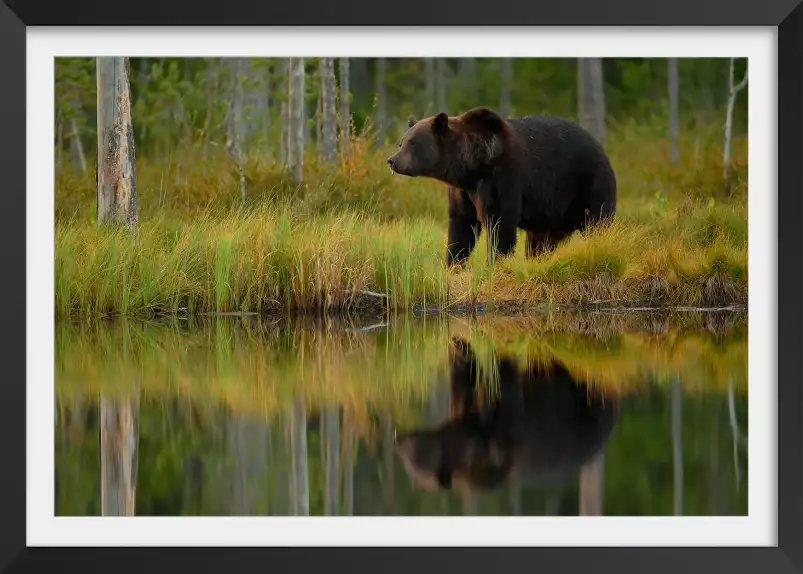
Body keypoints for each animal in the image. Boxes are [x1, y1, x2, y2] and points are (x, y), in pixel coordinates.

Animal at [386, 107, 620, 266]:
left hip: (588, 185)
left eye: (413, 143)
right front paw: (453, 263)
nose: (392, 160)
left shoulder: (502, 179)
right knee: (541, 240)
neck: (470, 167)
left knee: (598, 223)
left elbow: (500, 224)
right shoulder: (462, 192)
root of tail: (602, 148)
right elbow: (461, 226)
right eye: (401, 142)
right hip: (551, 213)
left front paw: (495, 263)